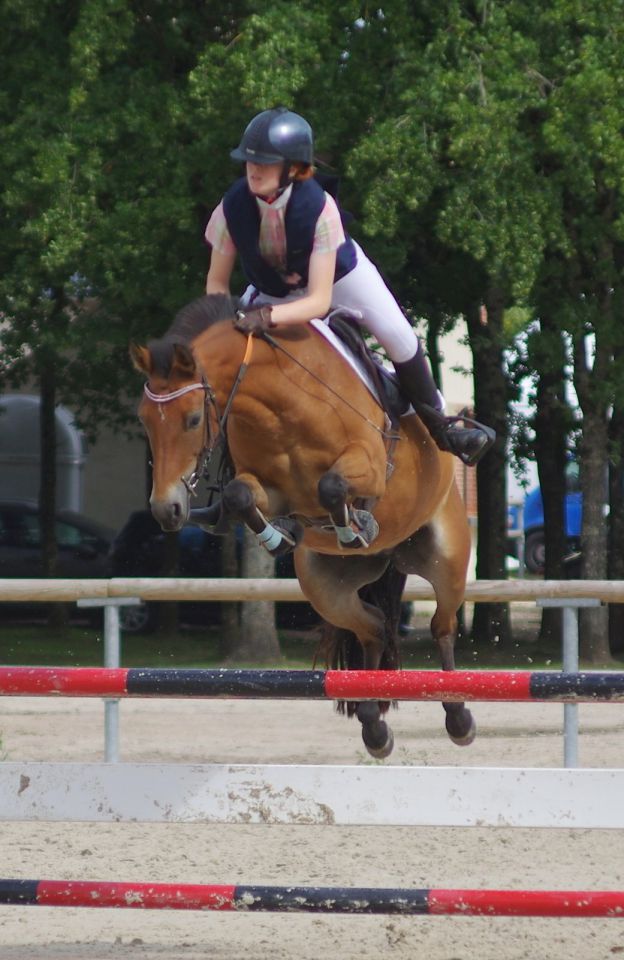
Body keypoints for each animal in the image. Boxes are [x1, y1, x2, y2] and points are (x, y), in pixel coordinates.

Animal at [130, 293, 475, 758]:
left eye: (192, 420)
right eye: (144, 419)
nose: (166, 510)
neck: (280, 405)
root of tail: (391, 555)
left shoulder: (368, 466)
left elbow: (332, 486)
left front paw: (354, 524)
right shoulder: (268, 487)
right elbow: (240, 495)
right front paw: (282, 536)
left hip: (447, 556)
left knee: (443, 625)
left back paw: (458, 716)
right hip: (324, 586)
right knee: (373, 628)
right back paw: (373, 724)